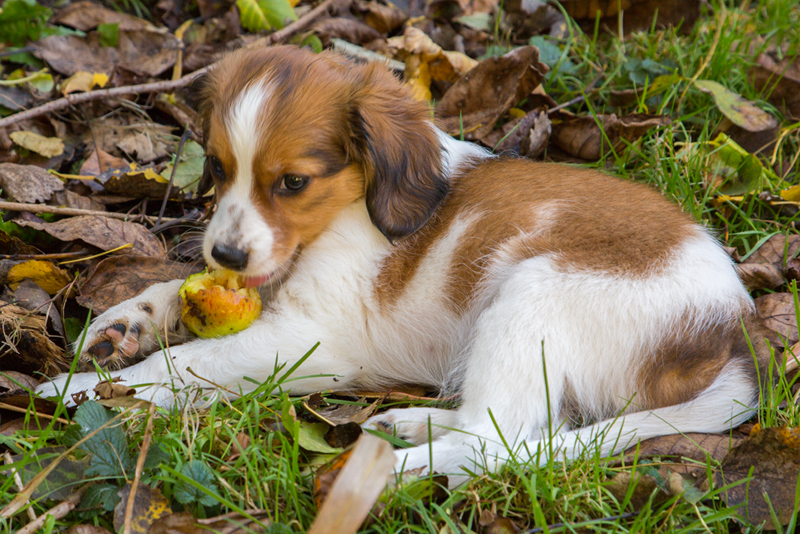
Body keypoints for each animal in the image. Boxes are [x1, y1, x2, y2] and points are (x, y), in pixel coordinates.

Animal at [39, 46, 776, 478]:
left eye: (293, 182)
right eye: (218, 168)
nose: (224, 251)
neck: (347, 211)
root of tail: (732, 328)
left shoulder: (307, 340)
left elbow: (184, 363)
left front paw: (81, 391)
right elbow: (172, 296)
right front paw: (119, 327)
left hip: (533, 296)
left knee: (500, 441)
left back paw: (402, 466)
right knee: (517, 423)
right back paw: (404, 425)